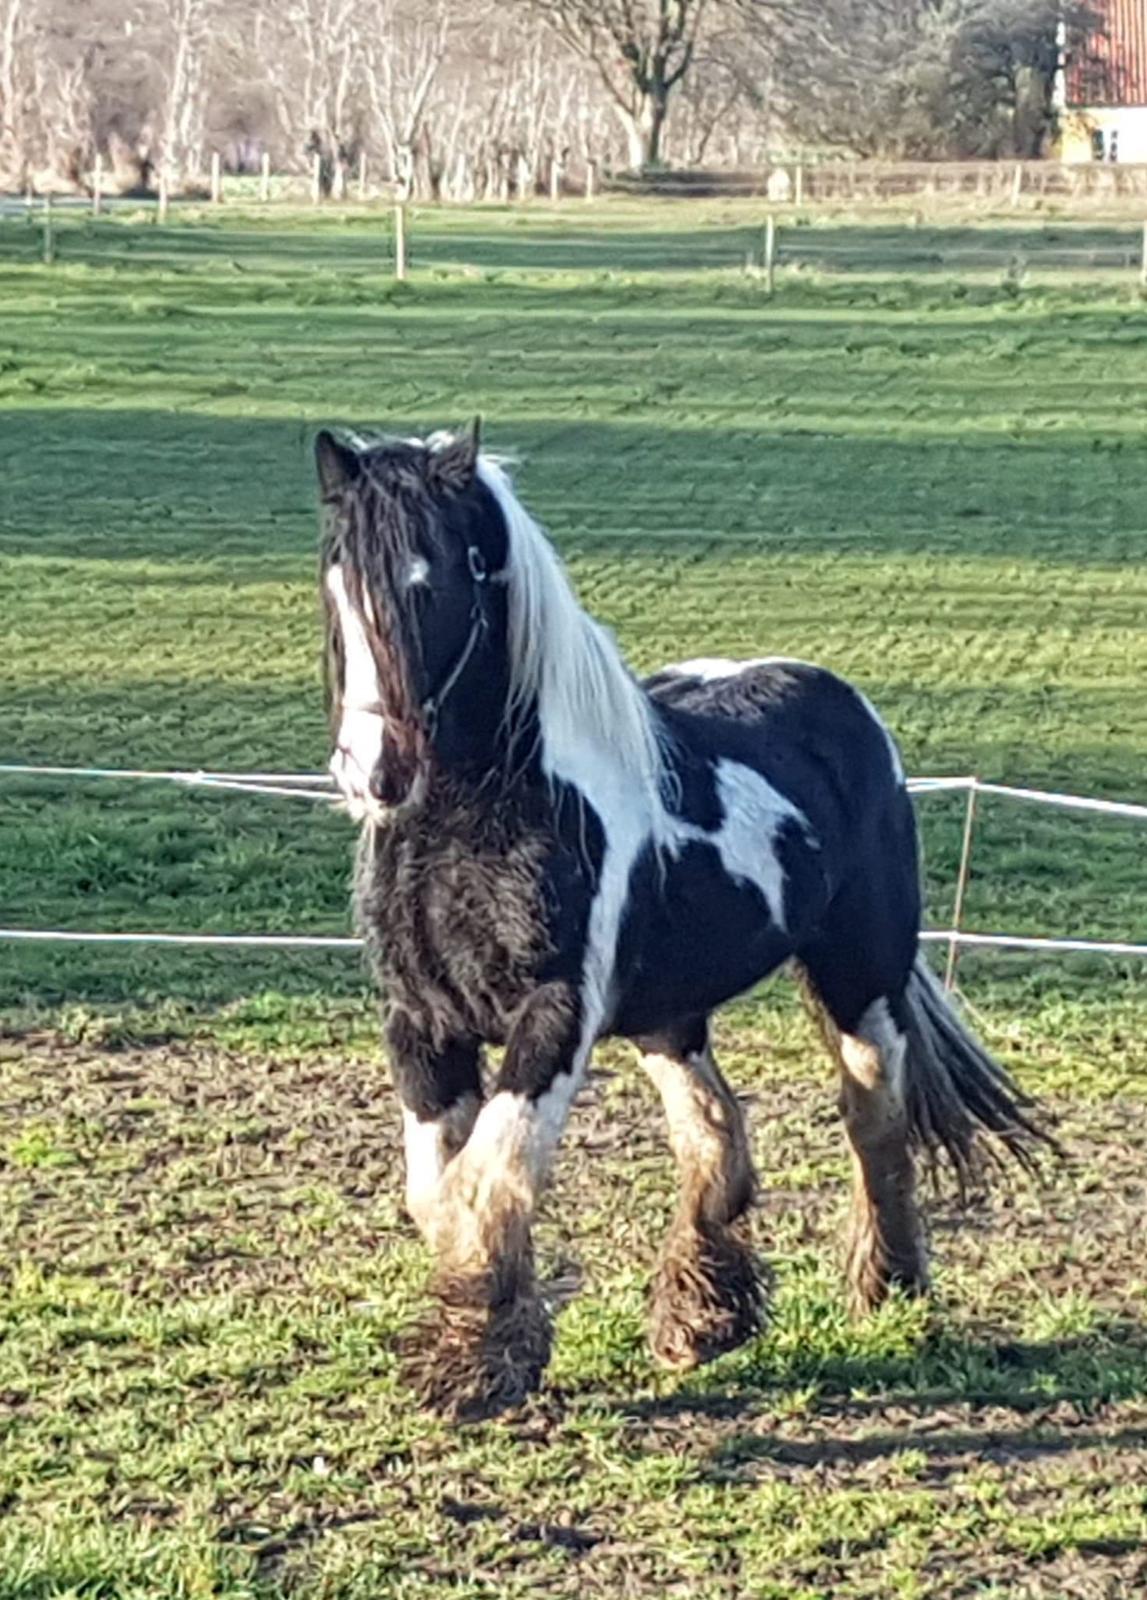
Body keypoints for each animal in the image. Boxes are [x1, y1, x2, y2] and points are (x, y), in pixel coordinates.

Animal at [313, 422, 1049, 1414]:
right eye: (336, 580)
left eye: (430, 583)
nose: (373, 771)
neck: (481, 821)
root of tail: (838, 699)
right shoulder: (420, 1023)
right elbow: (442, 1193)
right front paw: (496, 1334)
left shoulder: (557, 1017)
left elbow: (487, 1180)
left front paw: (476, 1366)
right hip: (667, 1014)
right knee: (715, 1133)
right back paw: (703, 1317)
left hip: (859, 979)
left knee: (873, 1121)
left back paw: (887, 1290)